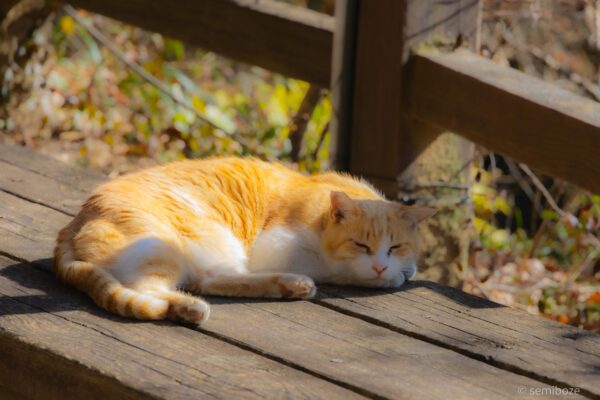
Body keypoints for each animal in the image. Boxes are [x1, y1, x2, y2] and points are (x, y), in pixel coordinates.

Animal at [52, 157, 436, 324]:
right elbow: (342, 271)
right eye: (361, 245)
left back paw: (290, 287)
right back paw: (191, 308)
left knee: (210, 280)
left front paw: (402, 271)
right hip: (173, 245)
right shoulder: (277, 247)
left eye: (396, 246)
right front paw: (386, 277)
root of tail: (70, 227)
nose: (380, 265)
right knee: (162, 288)